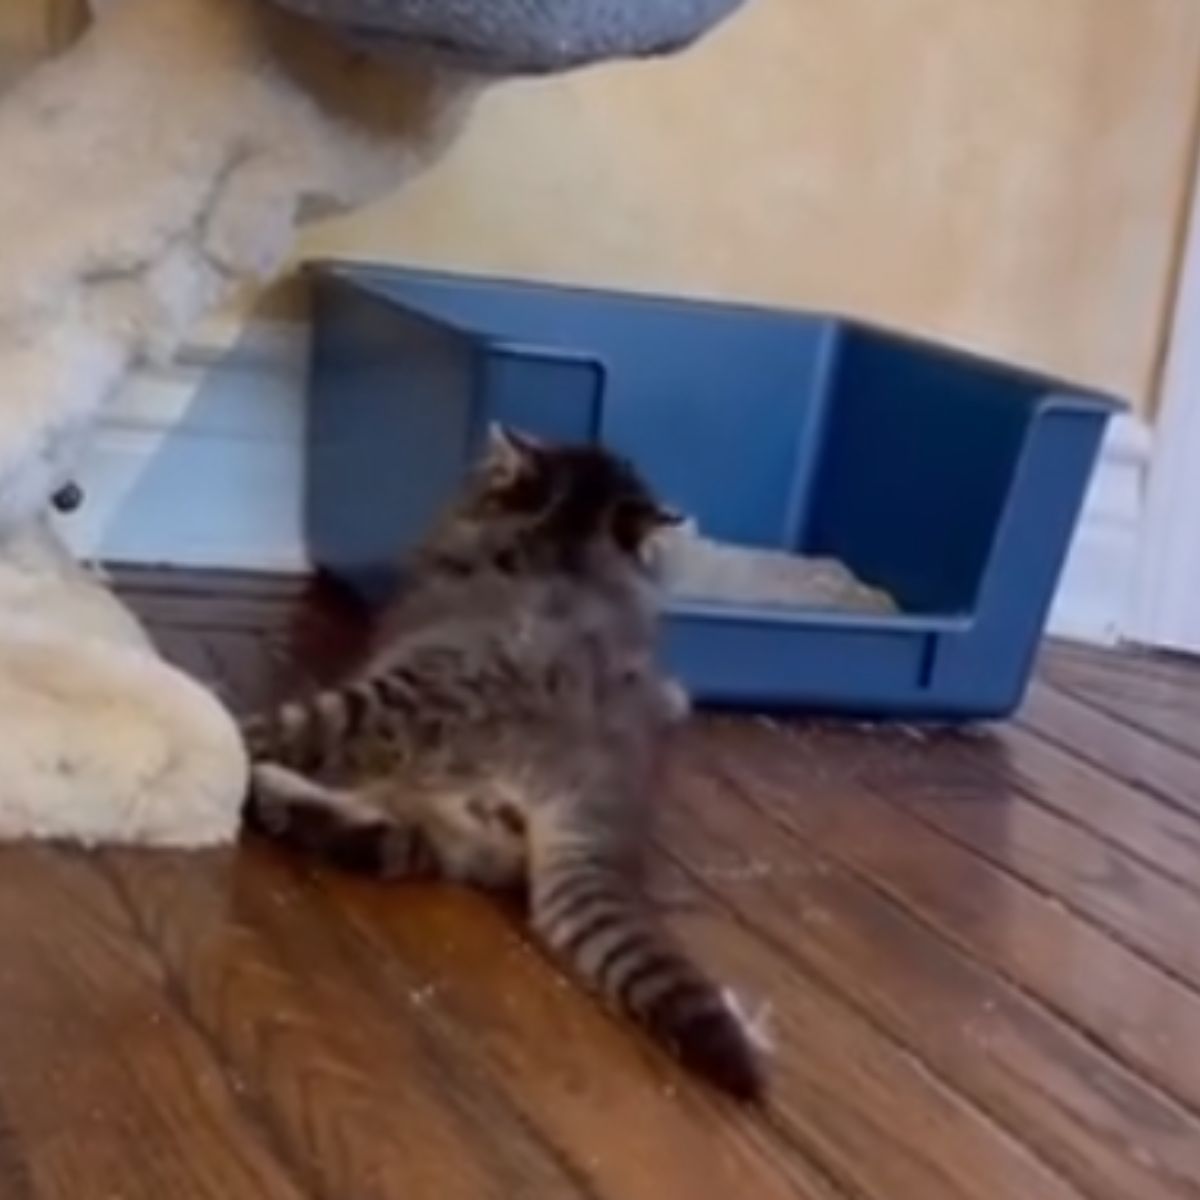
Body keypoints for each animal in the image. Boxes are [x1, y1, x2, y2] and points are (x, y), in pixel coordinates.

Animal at [243, 427, 768, 1099]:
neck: (566, 548)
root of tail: (586, 772)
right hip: (467, 825)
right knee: (384, 841)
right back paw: (283, 804)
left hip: (387, 709)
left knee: (277, 741)